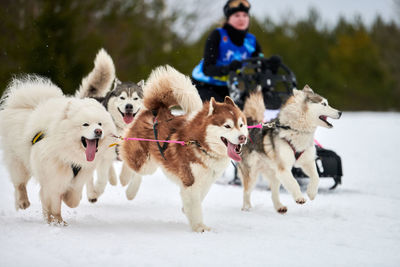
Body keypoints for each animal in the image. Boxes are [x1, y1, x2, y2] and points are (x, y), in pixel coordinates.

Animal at [0, 75, 115, 224]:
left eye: (100, 124)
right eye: (85, 124)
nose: (98, 131)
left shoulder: (80, 175)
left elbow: (73, 198)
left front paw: (67, 202)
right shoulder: (54, 177)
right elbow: (54, 203)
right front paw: (58, 222)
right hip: (18, 161)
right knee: (19, 184)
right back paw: (23, 202)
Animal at [75, 48, 144, 203]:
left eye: (135, 98)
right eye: (122, 97)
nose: (129, 106)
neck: (123, 130)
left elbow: (135, 174)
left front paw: (128, 186)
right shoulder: (103, 155)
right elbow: (101, 179)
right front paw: (96, 192)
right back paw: (92, 192)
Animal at [120, 65, 248, 232]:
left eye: (241, 125)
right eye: (227, 126)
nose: (243, 137)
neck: (201, 144)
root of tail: (156, 110)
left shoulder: (207, 179)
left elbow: (199, 198)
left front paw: (185, 209)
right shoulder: (190, 181)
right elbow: (195, 206)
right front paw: (199, 227)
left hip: (153, 162)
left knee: (138, 172)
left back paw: (130, 191)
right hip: (143, 160)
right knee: (130, 162)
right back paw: (125, 183)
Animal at [238, 87, 340, 215]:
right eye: (324, 104)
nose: (340, 112)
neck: (295, 129)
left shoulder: (307, 162)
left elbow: (316, 177)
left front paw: (311, 193)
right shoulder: (283, 168)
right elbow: (294, 182)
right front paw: (299, 197)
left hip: (274, 174)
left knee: (274, 192)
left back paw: (279, 207)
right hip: (252, 173)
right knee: (246, 191)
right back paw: (246, 208)